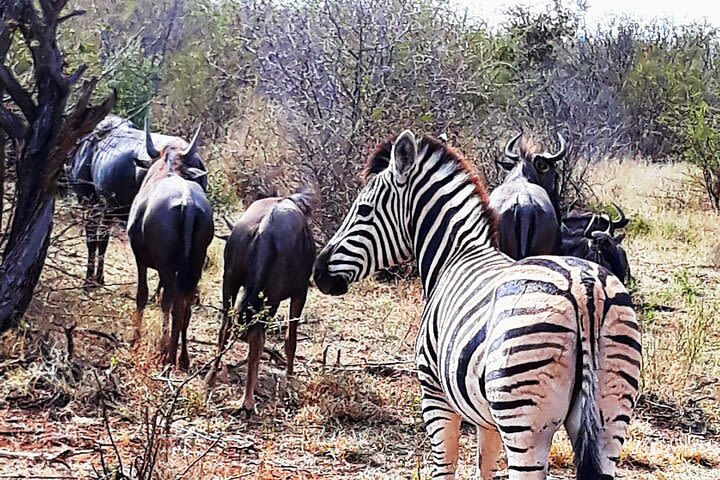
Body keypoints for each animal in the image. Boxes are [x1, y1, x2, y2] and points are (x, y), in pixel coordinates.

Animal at [316, 129, 640, 478]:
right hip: (609, 419)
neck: (455, 256)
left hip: (525, 423)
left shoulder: (435, 396)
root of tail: (583, 287)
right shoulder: (487, 417)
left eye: (363, 210)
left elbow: (444, 468)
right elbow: (483, 467)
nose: (318, 272)